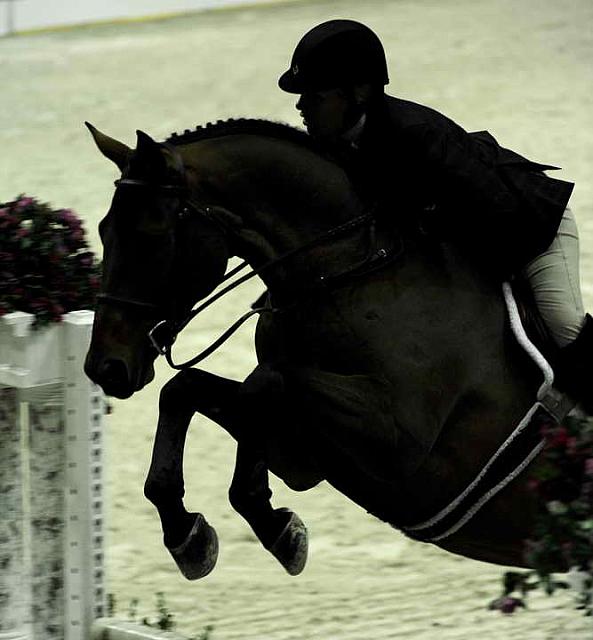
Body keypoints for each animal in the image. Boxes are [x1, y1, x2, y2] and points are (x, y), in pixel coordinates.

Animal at [83, 119, 552, 580]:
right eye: (104, 230)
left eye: (150, 235)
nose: (105, 367)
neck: (343, 274)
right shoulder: (304, 440)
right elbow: (185, 389)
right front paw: (190, 536)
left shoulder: (395, 440)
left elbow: (263, 384)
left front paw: (271, 523)